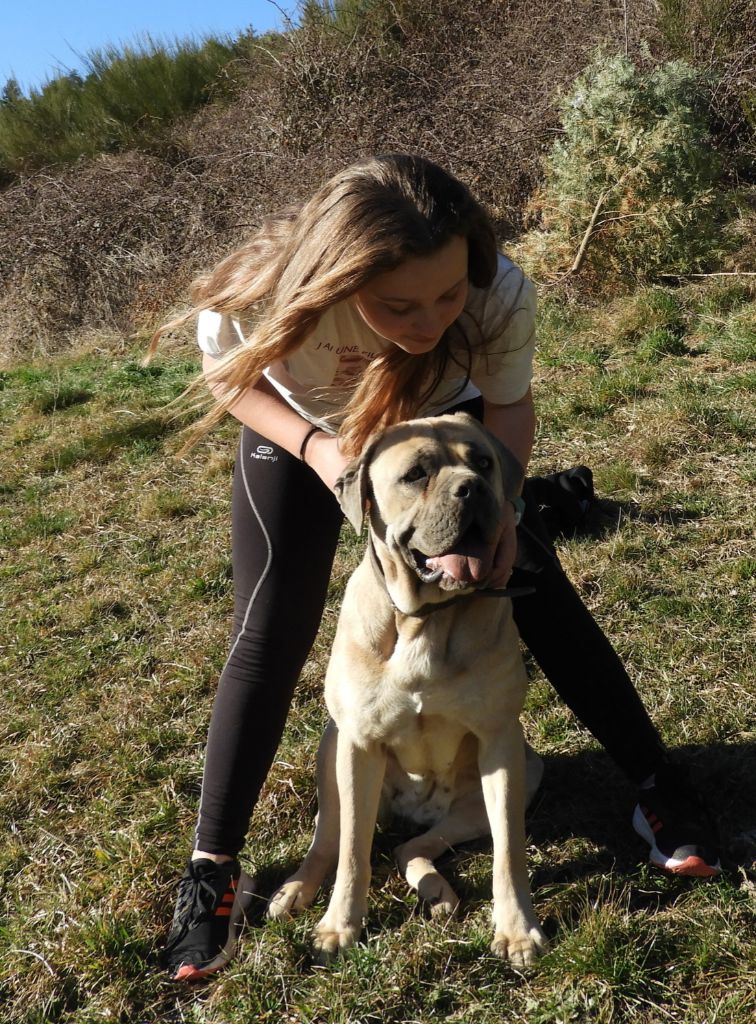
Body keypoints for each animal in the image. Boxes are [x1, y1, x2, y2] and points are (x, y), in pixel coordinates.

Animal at [268, 411, 544, 962]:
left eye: (483, 462)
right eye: (416, 474)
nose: (472, 488)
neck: (424, 621)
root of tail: (415, 811)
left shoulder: (501, 744)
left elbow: (509, 849)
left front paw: (517, 930)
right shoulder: (357, 745)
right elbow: (353, 851)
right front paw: (340, 926)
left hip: (520, 774)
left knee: (411, 845)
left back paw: (436, 891)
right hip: (331, 747)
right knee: (329, 840)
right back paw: (296, 890)